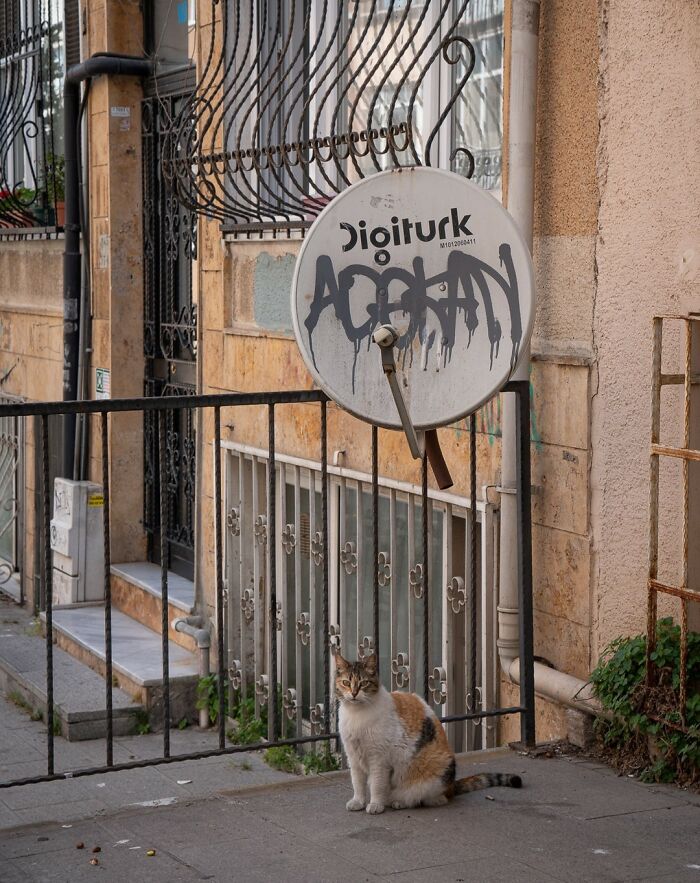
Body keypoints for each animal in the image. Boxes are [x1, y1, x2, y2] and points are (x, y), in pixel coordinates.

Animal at [336, 648, 524, 816]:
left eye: (363, 683)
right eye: (346, 683)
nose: (354, 693)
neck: (356, 714)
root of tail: (451, 786)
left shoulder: (378, 759)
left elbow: (376, 784)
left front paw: (375, 805)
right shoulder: (353, 756)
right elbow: (357, 782)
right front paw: (358, 802)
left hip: (436, 772)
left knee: (434, 798)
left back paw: (401, 801)